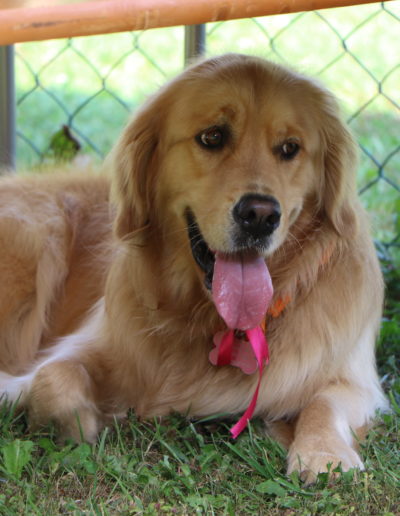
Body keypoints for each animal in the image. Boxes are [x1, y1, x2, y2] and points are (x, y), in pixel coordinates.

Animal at [0, 54, 387, 483]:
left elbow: (326, 403)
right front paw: (82, 419)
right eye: (212, 137)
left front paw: (323, 453)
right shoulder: (87, 346)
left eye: (290, 148)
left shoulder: (355, 378)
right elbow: (51, 379)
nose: (260, 216)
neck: (214, 320)